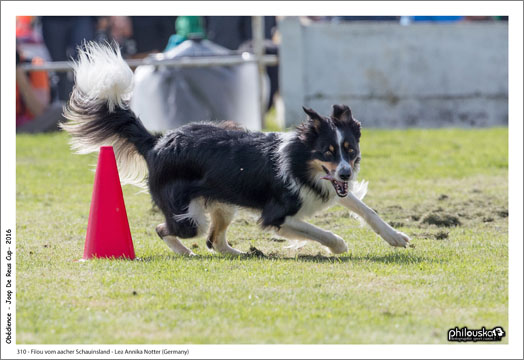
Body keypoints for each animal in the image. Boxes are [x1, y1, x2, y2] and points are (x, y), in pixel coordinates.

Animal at [61, 42, 410, 256]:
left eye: (349, 150)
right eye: (327, 152)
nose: (347, 173)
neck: (300, 161)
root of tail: (157, 141)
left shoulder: (329, 187)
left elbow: (365, 209)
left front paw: (396, 237)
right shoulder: (276, 215)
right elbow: (319, 231)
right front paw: (337, 246)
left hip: (223, 203)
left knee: (215, 241)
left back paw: (242, 253)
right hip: (190, 216)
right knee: (165, 229)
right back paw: (186, 253)